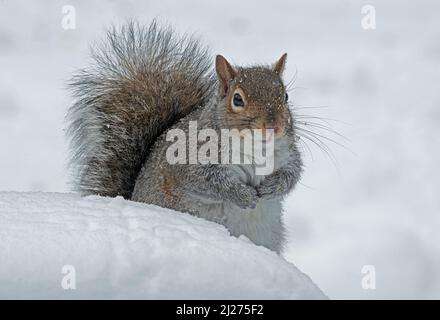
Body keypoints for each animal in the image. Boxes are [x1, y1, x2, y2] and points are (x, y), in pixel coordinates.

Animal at [68, 21, 302, 254]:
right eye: (237, 99)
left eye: (285, 96)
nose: (273, 126)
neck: (257, 147)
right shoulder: (188, 161)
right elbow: (210, 182)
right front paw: (244, 195)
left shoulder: (289, 154)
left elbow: (292, 173)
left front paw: (272, 187)